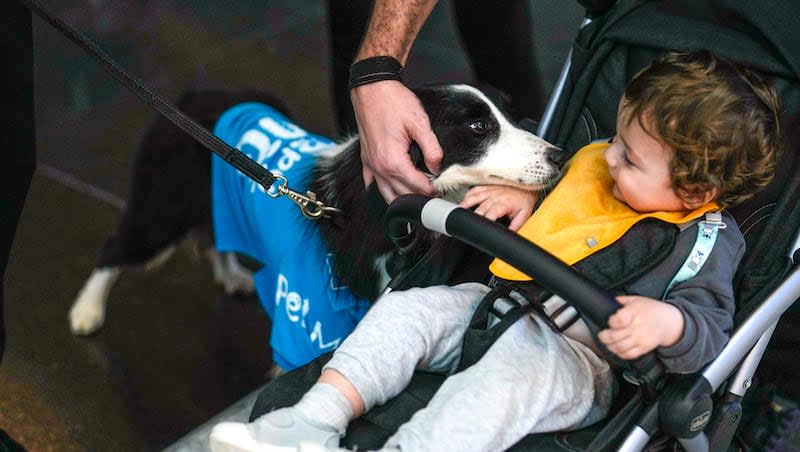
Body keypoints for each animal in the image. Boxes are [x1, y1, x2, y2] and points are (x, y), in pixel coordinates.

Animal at [69, 84, 564, 368]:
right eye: (478, 127)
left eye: (510, 115)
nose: (560, 156)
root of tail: (186, 99)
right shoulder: (308, 313)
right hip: (161, 209)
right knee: (116, 248)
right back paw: (86, 312)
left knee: (217, 238)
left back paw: (232, 275)